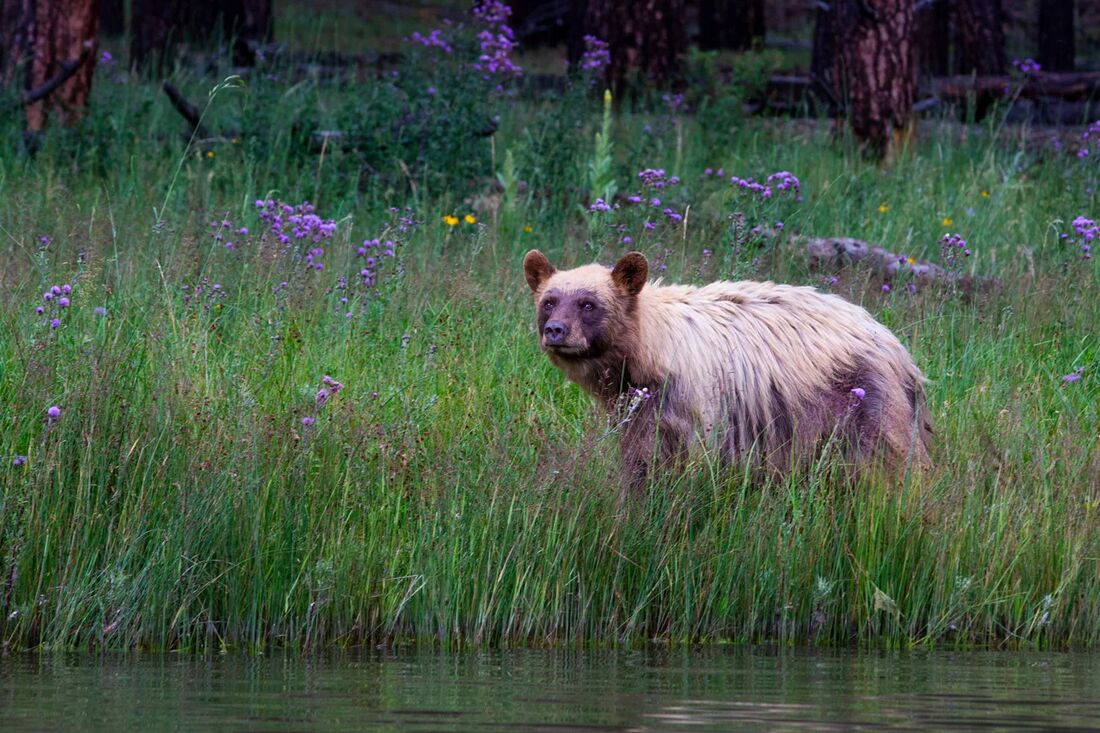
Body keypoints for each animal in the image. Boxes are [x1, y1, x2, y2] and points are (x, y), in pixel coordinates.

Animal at [523, 249, 932, 494]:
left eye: (588, 303)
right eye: (550, 301)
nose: (555, 331)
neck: (650, 349)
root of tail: (898, 349)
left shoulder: (691, 400)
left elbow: (677, 458)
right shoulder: (634, 405)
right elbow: (640, 455)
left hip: (862, 402)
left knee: (889, 462)